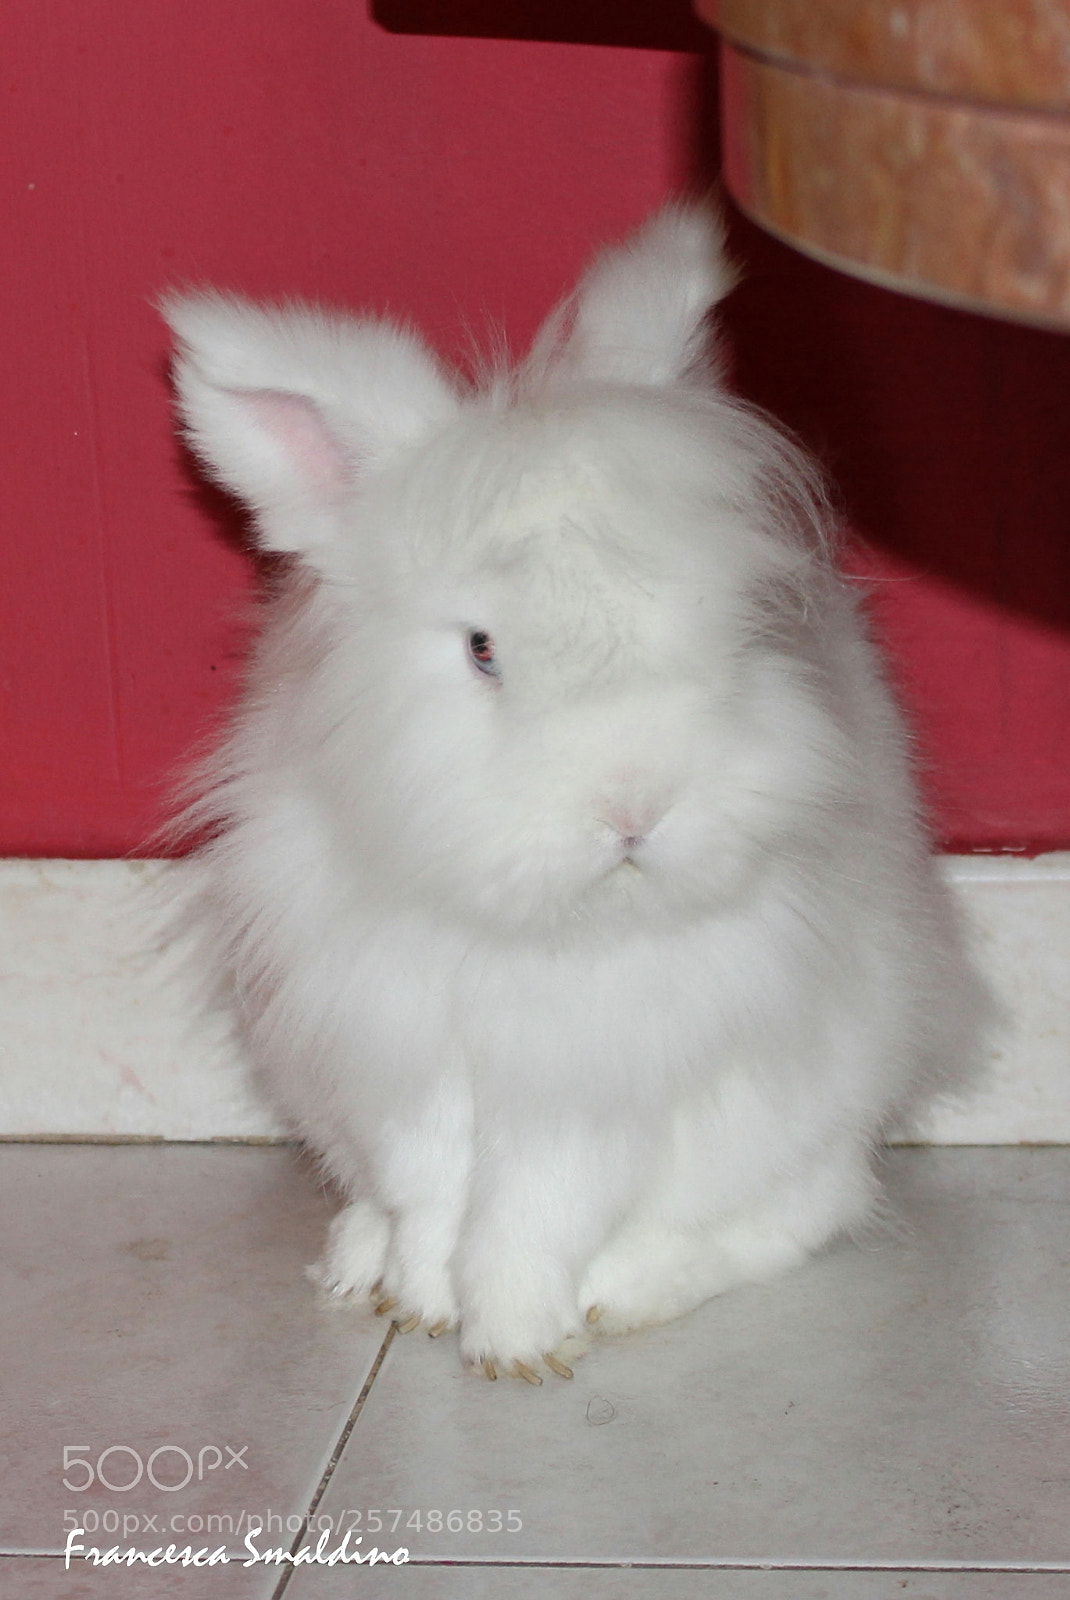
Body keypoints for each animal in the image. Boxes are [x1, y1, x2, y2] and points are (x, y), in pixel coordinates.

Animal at [163, 205, 984, 1384]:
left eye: (722, 620)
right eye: (481, 649)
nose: (634, 809)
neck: (527, 928)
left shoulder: (589, 1077)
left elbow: (535, 1206)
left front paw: (513, 1338)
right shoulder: (396, 1052)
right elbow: (429, 1189)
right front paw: (421, 1297)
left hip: (809, 1120)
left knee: (793, 1216)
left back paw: (623, 1294)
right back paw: (354, 1262)